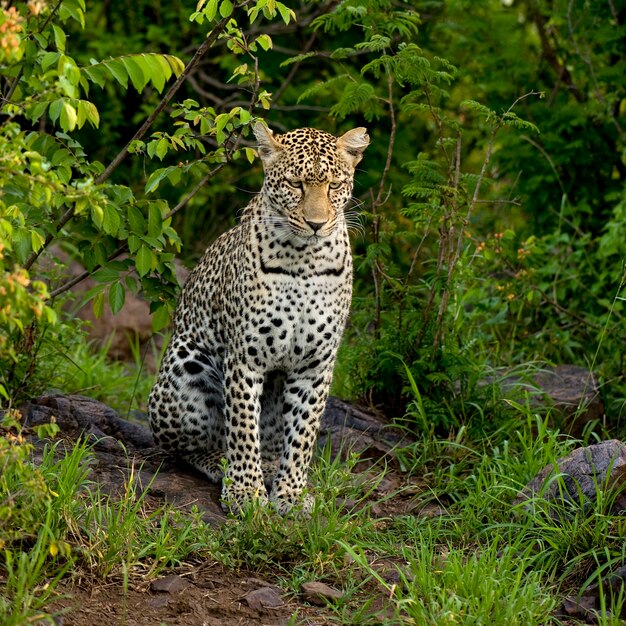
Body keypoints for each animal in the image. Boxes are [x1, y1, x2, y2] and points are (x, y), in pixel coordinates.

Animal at [148, 120, 368, 512]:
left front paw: (291, 494)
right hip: (184, 365)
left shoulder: (316, 365)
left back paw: (269, 467)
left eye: (333, 185)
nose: (316, 223)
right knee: (187, 446)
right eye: (295, 184)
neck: (305, 261)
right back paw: (220, 464)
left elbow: (303, 434)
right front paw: (245, 492)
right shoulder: (245, 356)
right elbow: (241, 426)